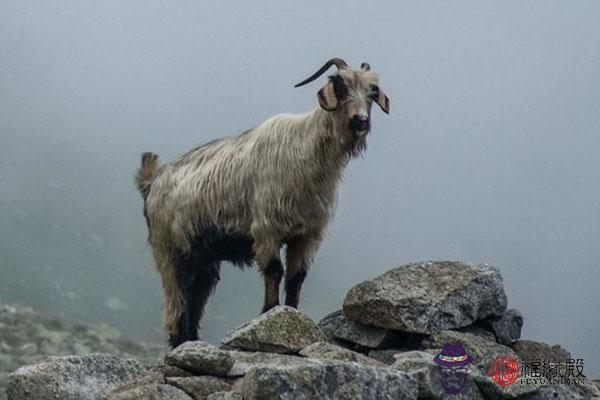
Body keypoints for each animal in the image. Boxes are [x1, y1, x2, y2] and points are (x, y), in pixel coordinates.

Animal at [135, 57, 390, 348]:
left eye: (372, 92)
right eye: (340, 85)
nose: (360, 122)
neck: (307, 151)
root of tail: (152, 181)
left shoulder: (308, 235)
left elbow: (296, 278)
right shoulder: (267, 229)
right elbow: (274, 271)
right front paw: (270, 315)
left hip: (204, 259)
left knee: (195, 301)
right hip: (169, 252)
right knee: (175, 305)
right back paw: (179, 341)